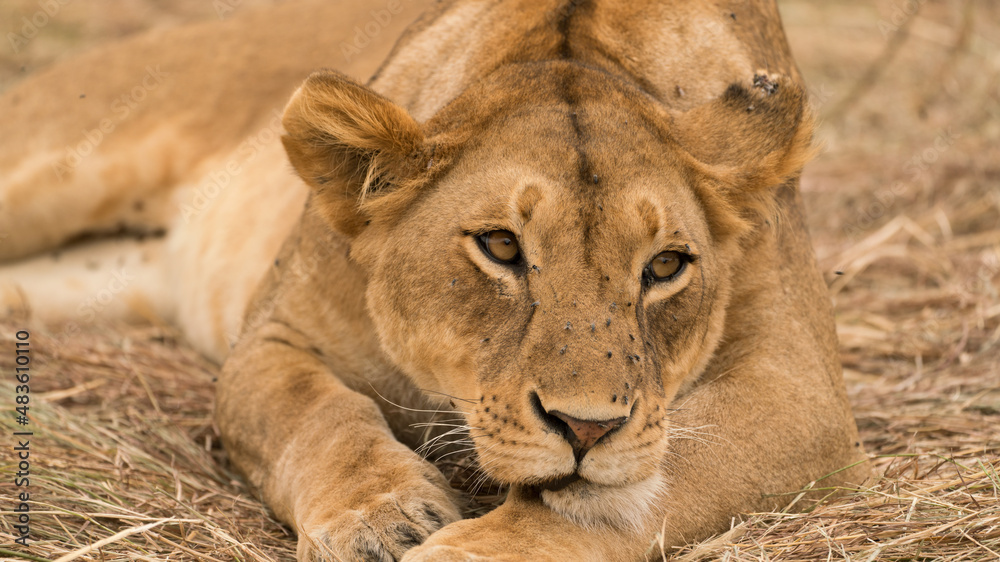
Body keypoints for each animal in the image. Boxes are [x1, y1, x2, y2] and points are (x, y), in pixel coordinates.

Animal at [0, 0, 870, 560]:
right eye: (501, 246)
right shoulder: (277, 334)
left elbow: (638, 487)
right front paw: (380, 518)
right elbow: (314, 412)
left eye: (664, 267)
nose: (586, 428)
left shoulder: (797, 389)